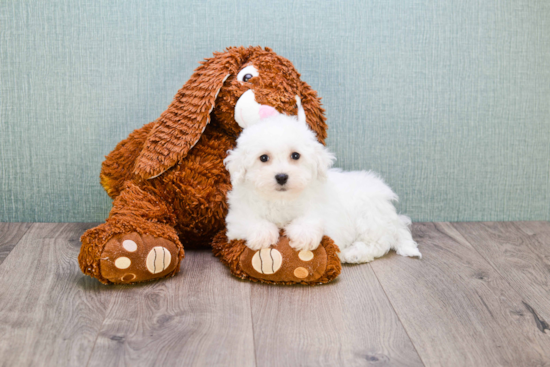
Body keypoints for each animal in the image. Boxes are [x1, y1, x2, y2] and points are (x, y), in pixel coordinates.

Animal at [224, 99, 422, 264]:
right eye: (263, 158)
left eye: (295, 155)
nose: (281, 176)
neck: (281, 199)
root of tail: (393, 216)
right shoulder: (238, 215)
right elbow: (250, 220)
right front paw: (263, 234)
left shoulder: (325, 211)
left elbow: (313, 218)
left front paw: (303, 235)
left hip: (369, 216)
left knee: (378, 243)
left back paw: (353, 254)